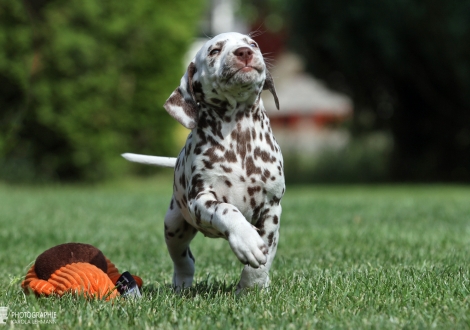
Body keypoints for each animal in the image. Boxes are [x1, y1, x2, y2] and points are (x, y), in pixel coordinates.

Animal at [123, 32, 284, 292]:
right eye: (214, 51)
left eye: (253, 44)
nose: (244, 52)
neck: (239, 134)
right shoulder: (200, 199)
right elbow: (227, 210)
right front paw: (246, 240)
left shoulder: (272, 209)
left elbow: (264, 258)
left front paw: (251, 288)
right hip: (174, 226)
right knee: (183, 259)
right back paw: (182, 285)